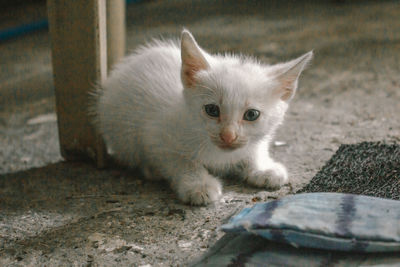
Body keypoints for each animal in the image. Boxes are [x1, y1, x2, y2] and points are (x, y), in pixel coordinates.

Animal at [91, 29, 312, 205]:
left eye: (251, 114)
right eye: (212, 110)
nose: (228, 136)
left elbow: (253, 150)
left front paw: (263, 168)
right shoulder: (157, 136)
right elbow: (181, 160)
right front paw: (199, 184)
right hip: (120, 128)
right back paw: (151, 170)